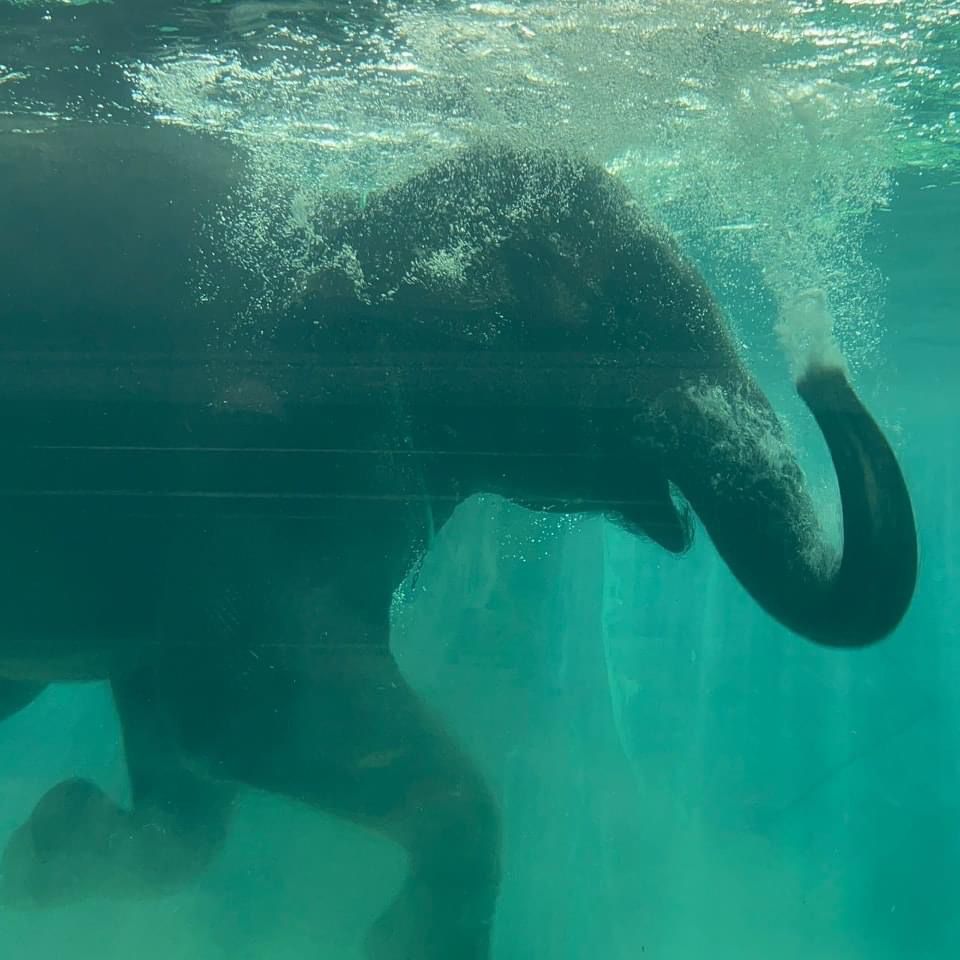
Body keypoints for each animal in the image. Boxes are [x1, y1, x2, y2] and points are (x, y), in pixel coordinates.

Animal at [0, 122, 917, 959]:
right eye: (614, 314)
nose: (819, 356)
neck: (362, 229)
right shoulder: (265, 469)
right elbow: (247, 703)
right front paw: (410, 944)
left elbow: (183, 761)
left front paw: (45, 843)